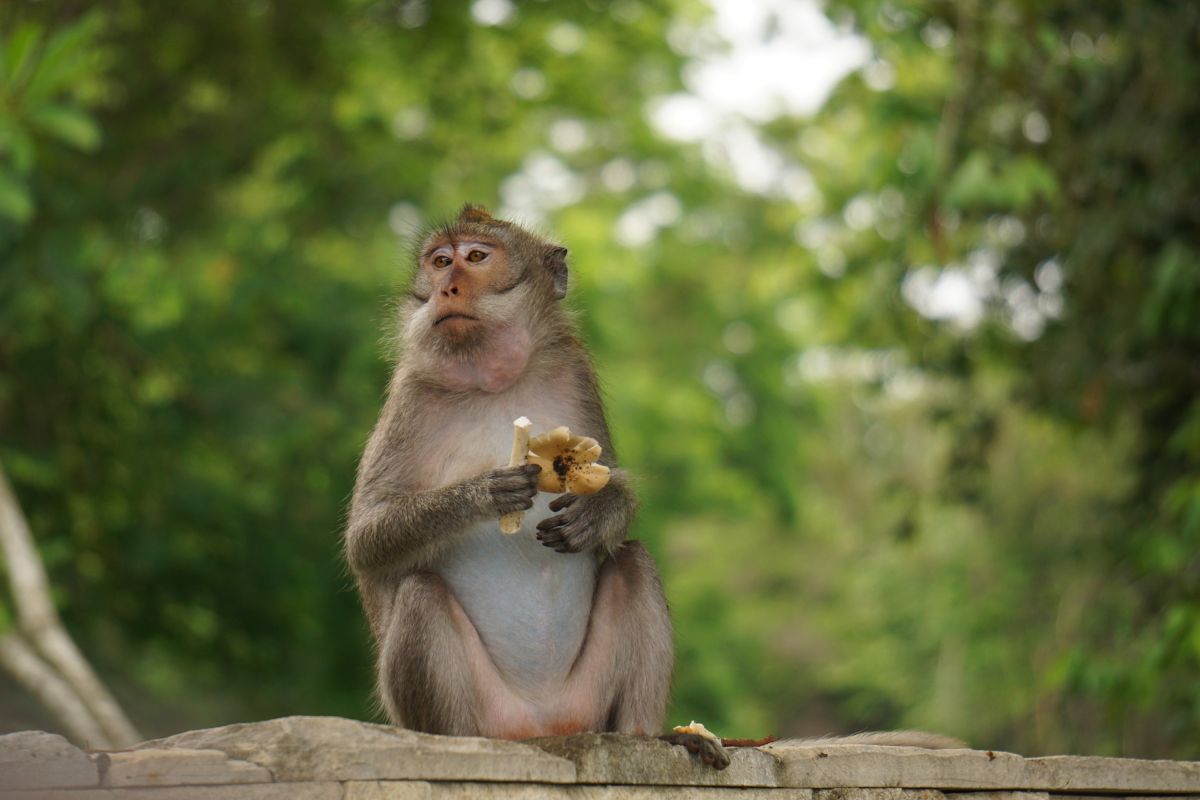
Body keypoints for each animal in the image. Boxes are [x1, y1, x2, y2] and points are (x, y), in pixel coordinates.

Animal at [344, 204, 729, 769]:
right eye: (440, 262)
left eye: (476, 257)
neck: (492, 380)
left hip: (589, 702)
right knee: (419, 594)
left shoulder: (572, 368)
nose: (447, 289)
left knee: (634, 560)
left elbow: (610, 481)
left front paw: (600, 510)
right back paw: (461, 746)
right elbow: (366, 538)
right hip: (486, 712)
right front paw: (486, 492)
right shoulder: (410, 397)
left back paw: (657, 737)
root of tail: (541, 727)